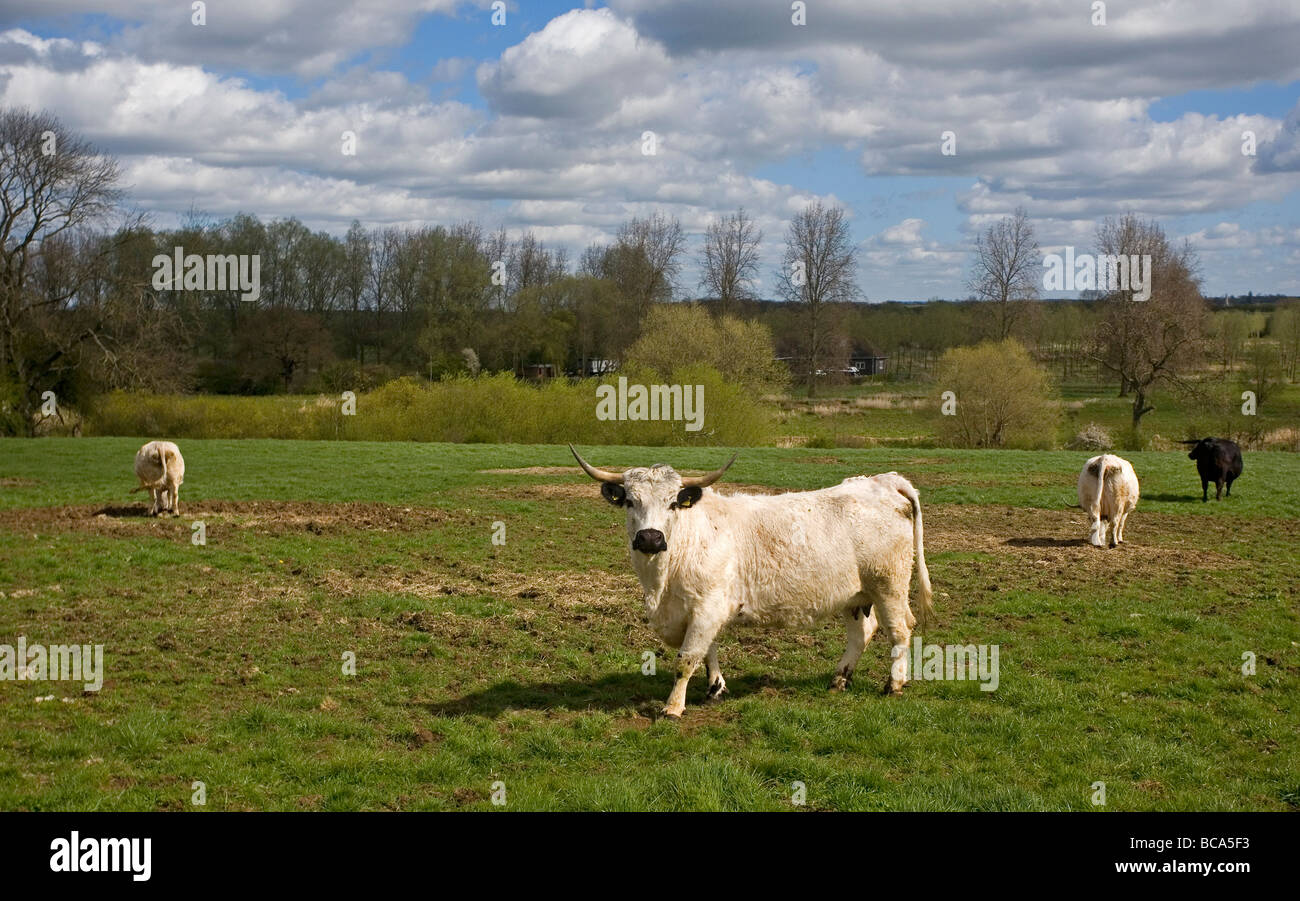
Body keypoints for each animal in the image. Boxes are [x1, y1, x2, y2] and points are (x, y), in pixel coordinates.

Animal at [570, 445, 935, 719]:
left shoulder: (707, 608)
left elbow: (687, 659)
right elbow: (708, 650)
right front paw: (715, 688)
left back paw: (893, 685)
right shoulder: (704, 611)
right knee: (862, 633)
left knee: (900, 630)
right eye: (630, 501)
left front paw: (673, 707)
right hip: (855, 595)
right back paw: (839, 680)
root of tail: (883, 481)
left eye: (673, 502)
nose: (650, 538)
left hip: (889, 586)